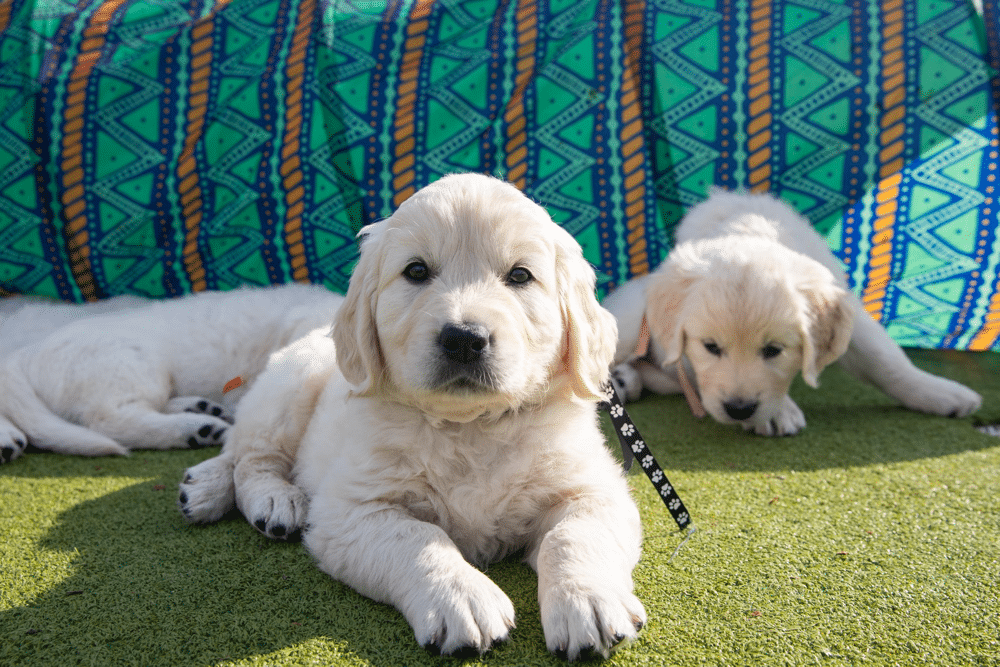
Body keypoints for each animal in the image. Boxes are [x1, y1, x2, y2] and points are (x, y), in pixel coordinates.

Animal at [176, 175, 644, 660]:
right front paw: (463, 598)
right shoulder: (350, 511)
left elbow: (571, 536)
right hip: (290, 388)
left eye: (520, 275)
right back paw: (262, 498)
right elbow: (418, 538)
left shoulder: (593, 490)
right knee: (248, 455)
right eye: (416, 271)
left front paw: (586, 600)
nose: (464, 339)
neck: (470, 426)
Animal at [604, 189, 980, 438]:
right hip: (628, 321)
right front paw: (777, 412)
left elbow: (887, 361)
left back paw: (627, 381)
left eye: (774, 350)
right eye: (710, 347)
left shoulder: (850, 313)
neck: (746, 229)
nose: (739, 409)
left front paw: (941, 393)